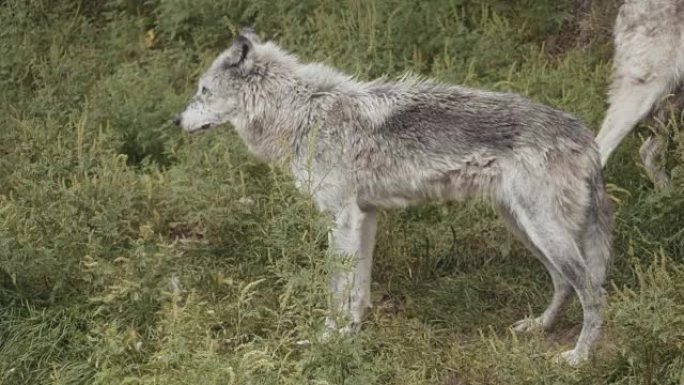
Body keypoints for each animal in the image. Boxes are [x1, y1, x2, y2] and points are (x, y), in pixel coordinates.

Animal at [174, 28, 612, 364]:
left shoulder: (341, 219)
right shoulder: (364, 217)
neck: (303, 113)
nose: (176, 120)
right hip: (523, 227)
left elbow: (337, 287)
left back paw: (579, 357)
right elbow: (358, 288)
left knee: (593, 291)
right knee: (564, 283)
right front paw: (353, 331)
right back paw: (538, 327)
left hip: (542, 230)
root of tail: (587, 138)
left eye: (203, 90)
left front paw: (329, 337)